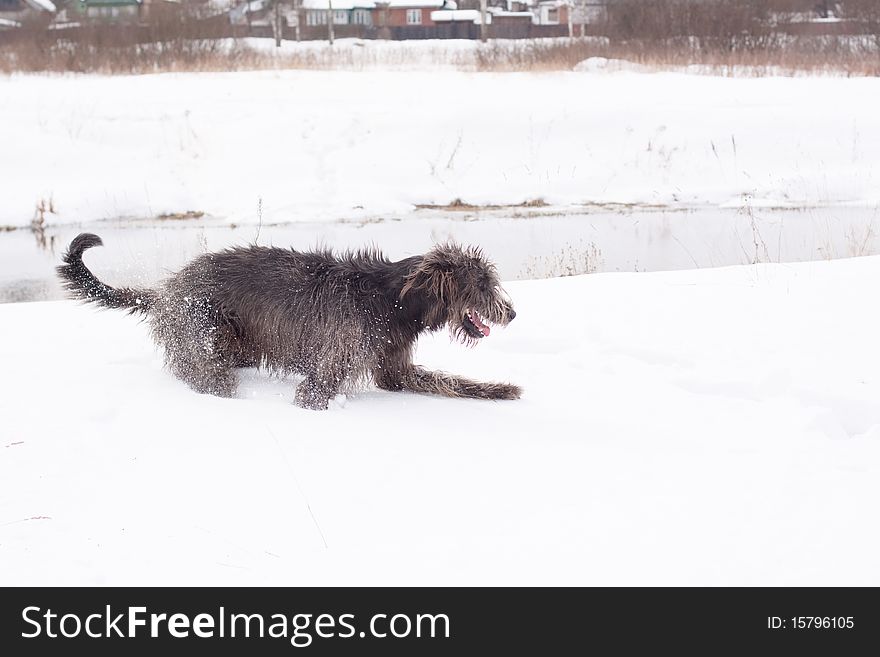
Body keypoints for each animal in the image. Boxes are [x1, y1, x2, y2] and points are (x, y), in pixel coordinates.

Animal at [60, 234, 524, 410]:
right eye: (482, 282)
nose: (513, 312)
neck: (391, 299)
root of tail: (168, 288)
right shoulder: (332, 363)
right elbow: (313, 394)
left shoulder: (394, 367)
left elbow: (446, 381)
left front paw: (500, 389)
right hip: (200, 331)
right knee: (205, 373)